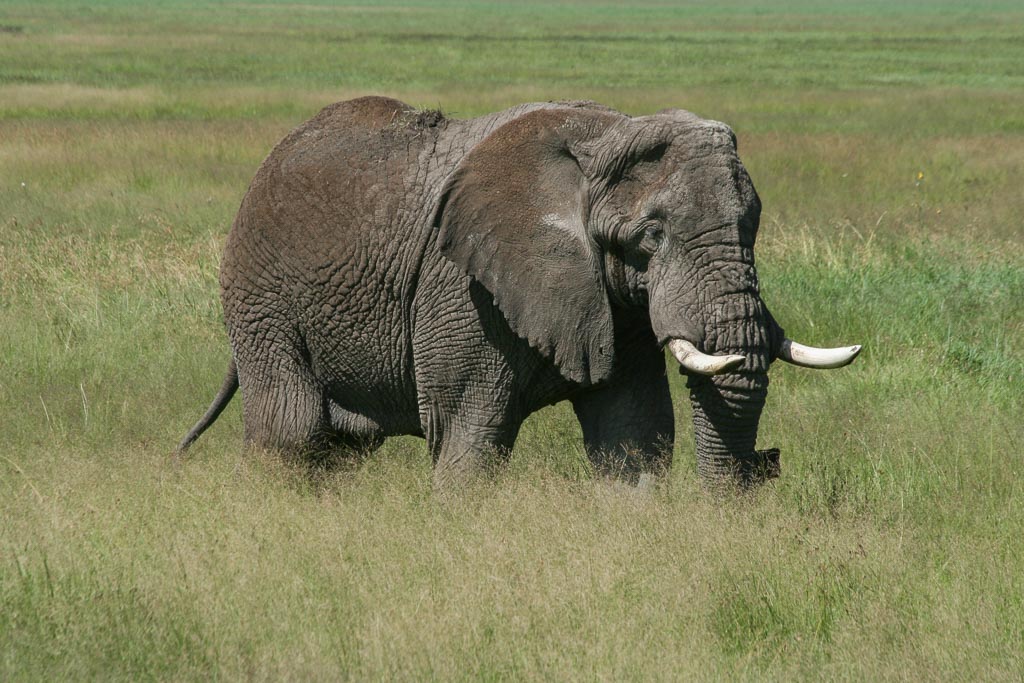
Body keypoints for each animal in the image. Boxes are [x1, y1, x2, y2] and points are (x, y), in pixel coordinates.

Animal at [180, 97, 860, 491]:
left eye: (755, 225)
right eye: (652, 235)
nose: (769, 463)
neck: (604, 135)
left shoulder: (614, 302)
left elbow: (635, 436)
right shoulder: (462, 287)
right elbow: (468, 436)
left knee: (339, 447)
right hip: (259, 295)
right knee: (291, 432)